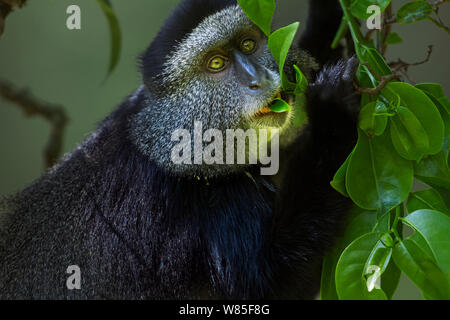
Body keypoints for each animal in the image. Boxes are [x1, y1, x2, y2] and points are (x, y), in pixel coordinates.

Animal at [0, 0, 358, 300]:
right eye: (216, 63)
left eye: (248, 44)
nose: (258, 79)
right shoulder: (211, 204)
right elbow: (271, 283)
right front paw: (332, 113)